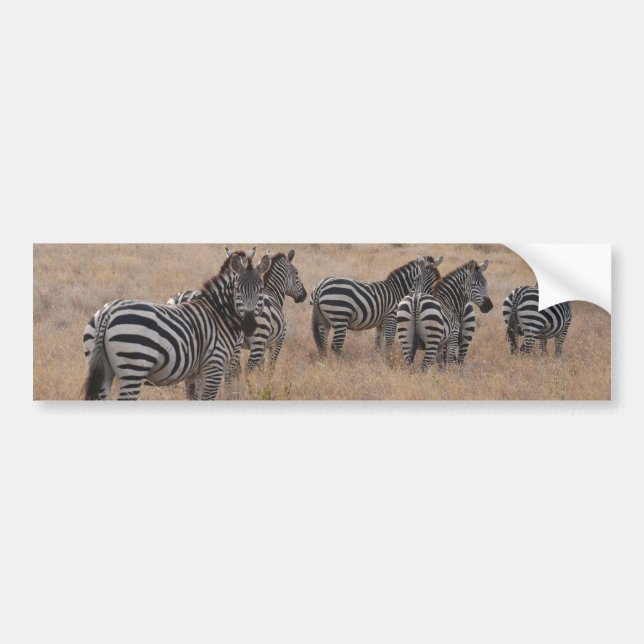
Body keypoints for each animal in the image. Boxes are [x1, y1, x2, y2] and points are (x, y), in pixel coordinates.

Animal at [82, 249, 270, 400]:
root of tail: (107, 312)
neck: (218, 314)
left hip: (103, 370)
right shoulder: (213, 365)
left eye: (261, 289)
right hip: (134, 366)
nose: (249, 326)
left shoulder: (194, 373)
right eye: (237, 289)